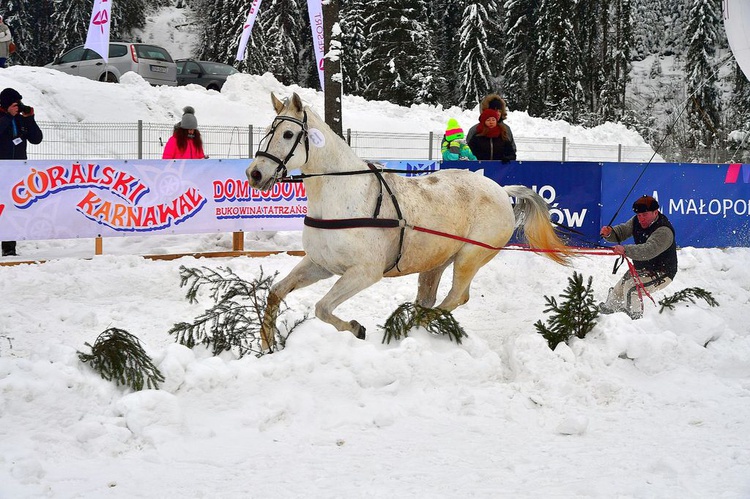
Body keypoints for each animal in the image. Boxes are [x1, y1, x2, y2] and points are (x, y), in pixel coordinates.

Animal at [247, 94, 568, 344]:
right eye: (266, 132)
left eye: (288, 135)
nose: (255, 174)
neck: (341, 195)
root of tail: (502, 191)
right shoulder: (320, 264)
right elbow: (276, 293)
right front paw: (266, 344)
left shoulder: (365, 272)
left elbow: (322, 308)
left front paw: (356, 328)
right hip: (436, 261)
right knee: (429, 300)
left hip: (470, 257)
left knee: (455, 298)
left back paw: (413, 329)